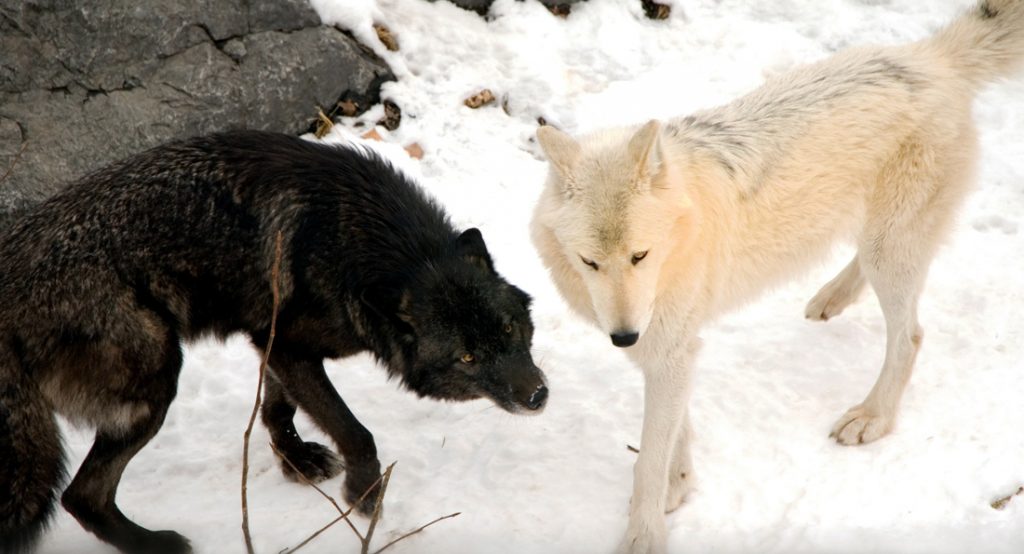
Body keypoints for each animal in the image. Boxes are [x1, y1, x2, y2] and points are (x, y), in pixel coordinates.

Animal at [0, 130, 548, 554]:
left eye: (508, 329)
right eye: (467, 357)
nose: (538, 396)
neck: (359, 243)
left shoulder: (278, 343)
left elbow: (278, 407)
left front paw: (296, 462)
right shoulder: (289, 347)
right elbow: (355, 433)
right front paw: (363, 495)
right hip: (155, 380)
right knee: (81, 495)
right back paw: (153, 544)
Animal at [531, 1, 1024, 552]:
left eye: (640, 255)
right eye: (589, 262)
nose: (622, 338)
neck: (681, 232)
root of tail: (934, 56)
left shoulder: (668, 344)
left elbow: (650, 458)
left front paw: (645, 534)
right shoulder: (668, 348)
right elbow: (676, 431)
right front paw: (677, 489)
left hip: (890, 251)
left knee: (911, 335)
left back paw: (872, 417)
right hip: (879, 240)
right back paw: (832, 297)